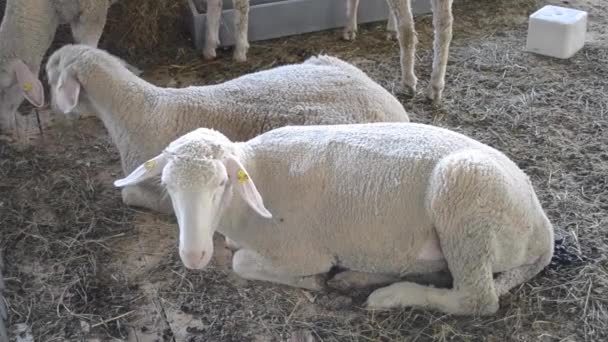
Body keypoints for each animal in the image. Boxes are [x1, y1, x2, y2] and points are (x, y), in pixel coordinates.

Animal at [111, 122, 552, 316]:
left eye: (221, 182)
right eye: (167, 185)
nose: (193, 256)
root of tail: (543, 228)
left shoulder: (300, 250)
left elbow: (241, 262)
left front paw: (313, 282)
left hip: (465, 206)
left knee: (477, 298)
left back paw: (388, 296)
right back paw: (359, 278)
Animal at [202, 0, 454, 103]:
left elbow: (239, 6)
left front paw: (238, 50)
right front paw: (210, 46)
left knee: (409, 30)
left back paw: (409, 82)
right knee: (444, 26)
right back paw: (435, 86)